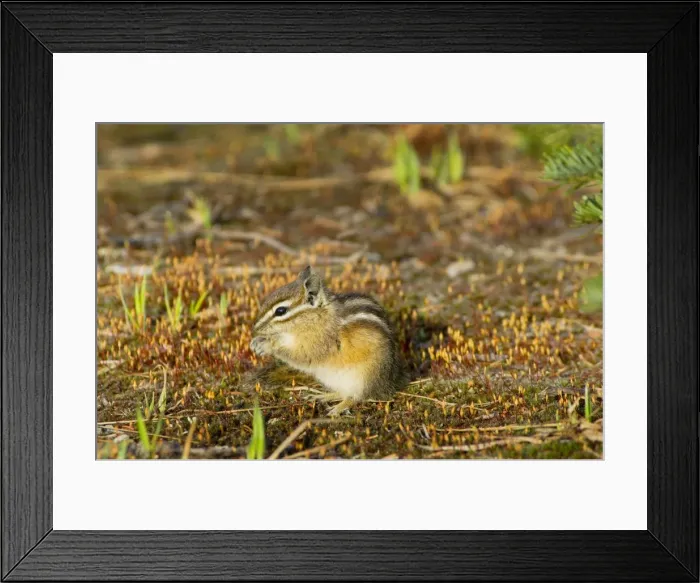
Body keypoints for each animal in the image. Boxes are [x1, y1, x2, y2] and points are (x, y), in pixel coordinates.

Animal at [250, 266, 407, 415]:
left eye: (280, 311)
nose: (255, 328)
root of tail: (388, 385)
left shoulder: (317, 345)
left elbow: (299, 355)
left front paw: (268, 345)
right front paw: (257, 341)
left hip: (364, 378)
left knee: (356, 397)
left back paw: (338, 408)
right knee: (341, 393)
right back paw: (322, 396)